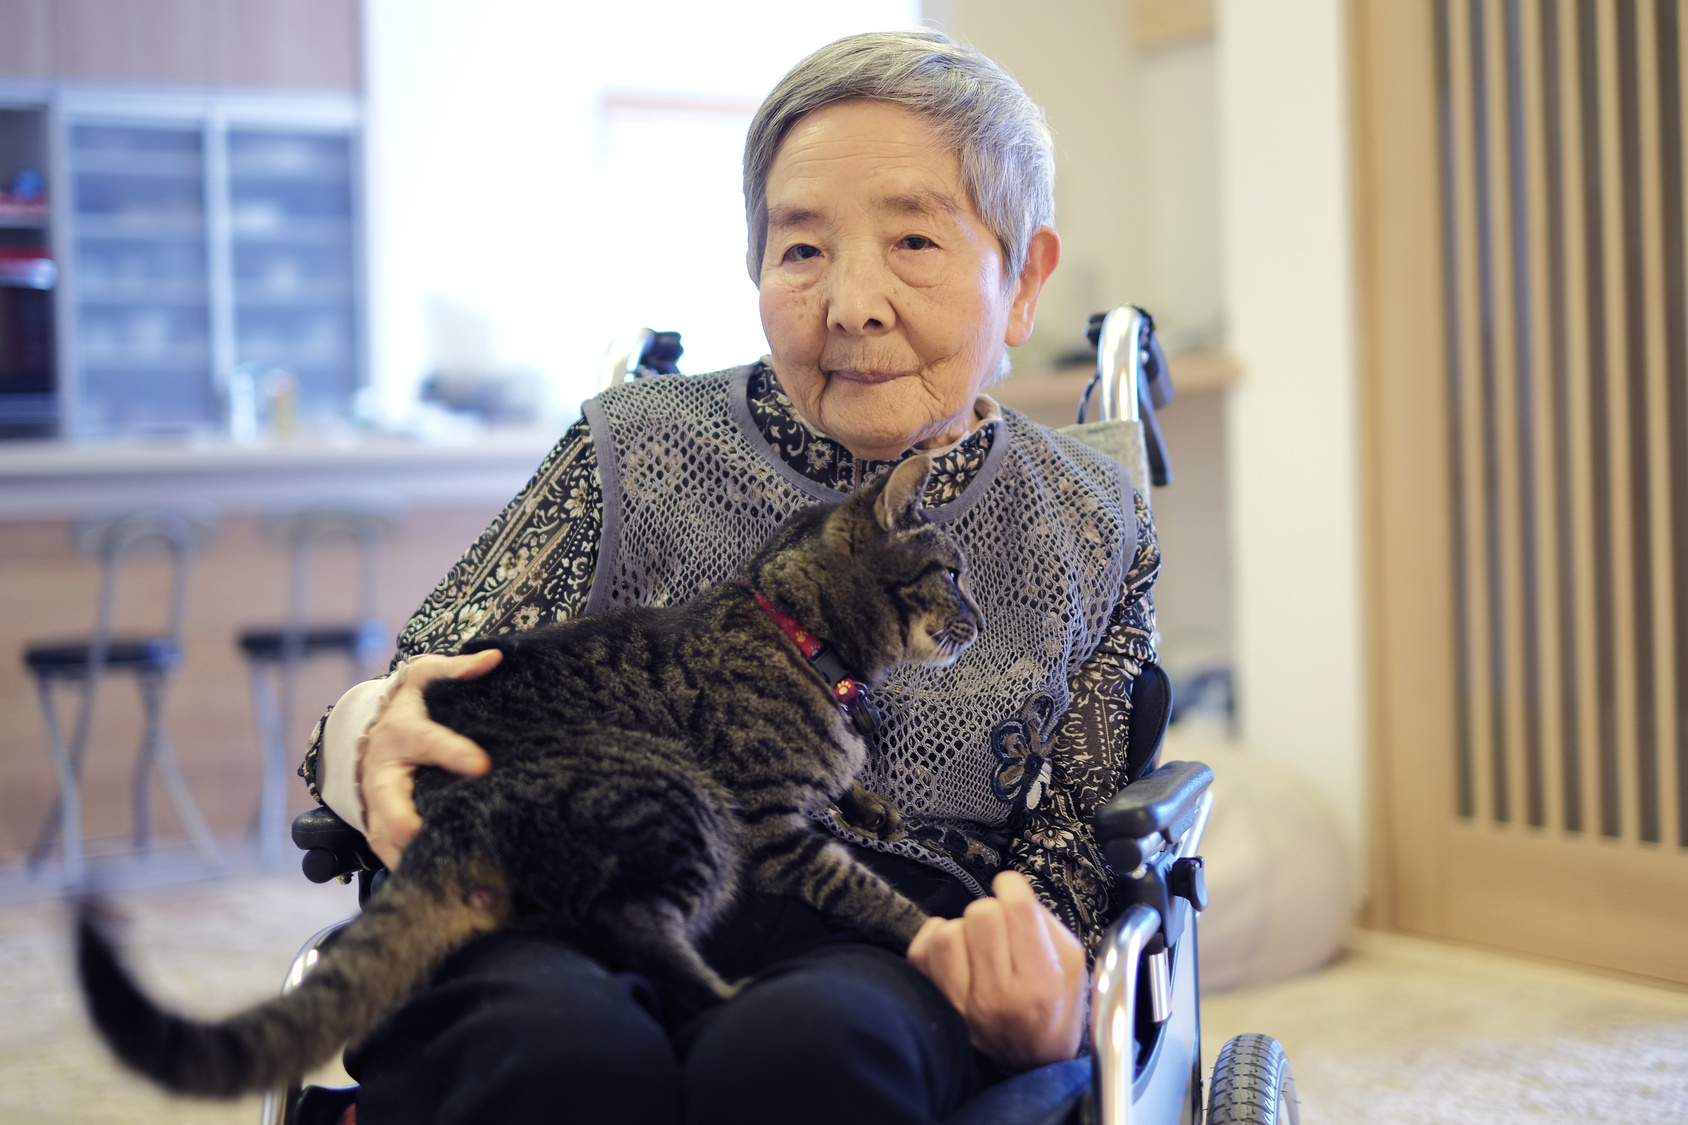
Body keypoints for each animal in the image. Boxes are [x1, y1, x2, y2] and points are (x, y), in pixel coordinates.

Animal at [72, 452, 985, 1087]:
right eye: (950, 572)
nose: (977, 618)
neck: (807, 639)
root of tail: (450, 811)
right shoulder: (769, 826)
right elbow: (865, 886)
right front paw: (933, 931)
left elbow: (852, 792)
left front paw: (871, 804)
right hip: (680, 800)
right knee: (632, 925)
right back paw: (732, 994)